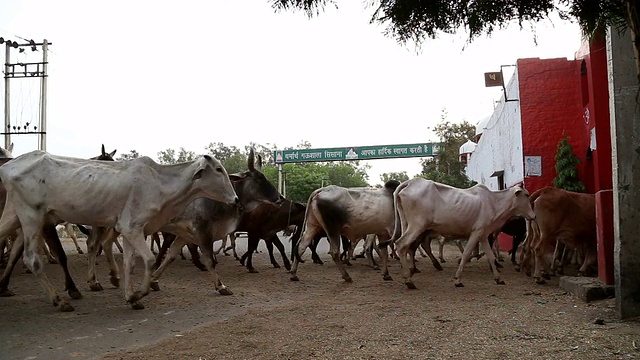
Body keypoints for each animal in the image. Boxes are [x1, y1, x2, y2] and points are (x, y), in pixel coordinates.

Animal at [0, 150, 238, 310]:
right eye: (218, 169)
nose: (235, 199)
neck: (160, 183)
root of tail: (8, 166)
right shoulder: (132, 228)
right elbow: (150, 260)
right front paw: (139, 294)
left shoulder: (130, 231)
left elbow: (129, 263)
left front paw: (130, 296)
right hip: (31, 217)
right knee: (32, 259)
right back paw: (59, 300)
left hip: (15, 217)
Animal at [382, 180, 536, 290]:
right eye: (527, 195)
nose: (533, 216)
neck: (493, 202)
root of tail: (410, 182)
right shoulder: (476, 232)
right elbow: (466, 253)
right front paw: (458, 280)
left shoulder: (483, 235)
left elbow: (490, 256)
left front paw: (498, 278)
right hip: (417, 225)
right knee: (402, 244)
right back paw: (409, 280)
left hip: (408, 224)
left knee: (408, 246)